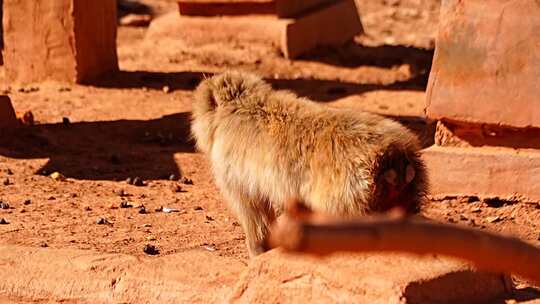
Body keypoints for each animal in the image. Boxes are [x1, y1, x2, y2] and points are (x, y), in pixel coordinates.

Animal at [192, 70, 428, 256]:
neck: (244, 104)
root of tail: (393, 154)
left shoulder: (230, 170)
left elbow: (253, 210)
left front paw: (258, 250)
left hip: (348, 195)